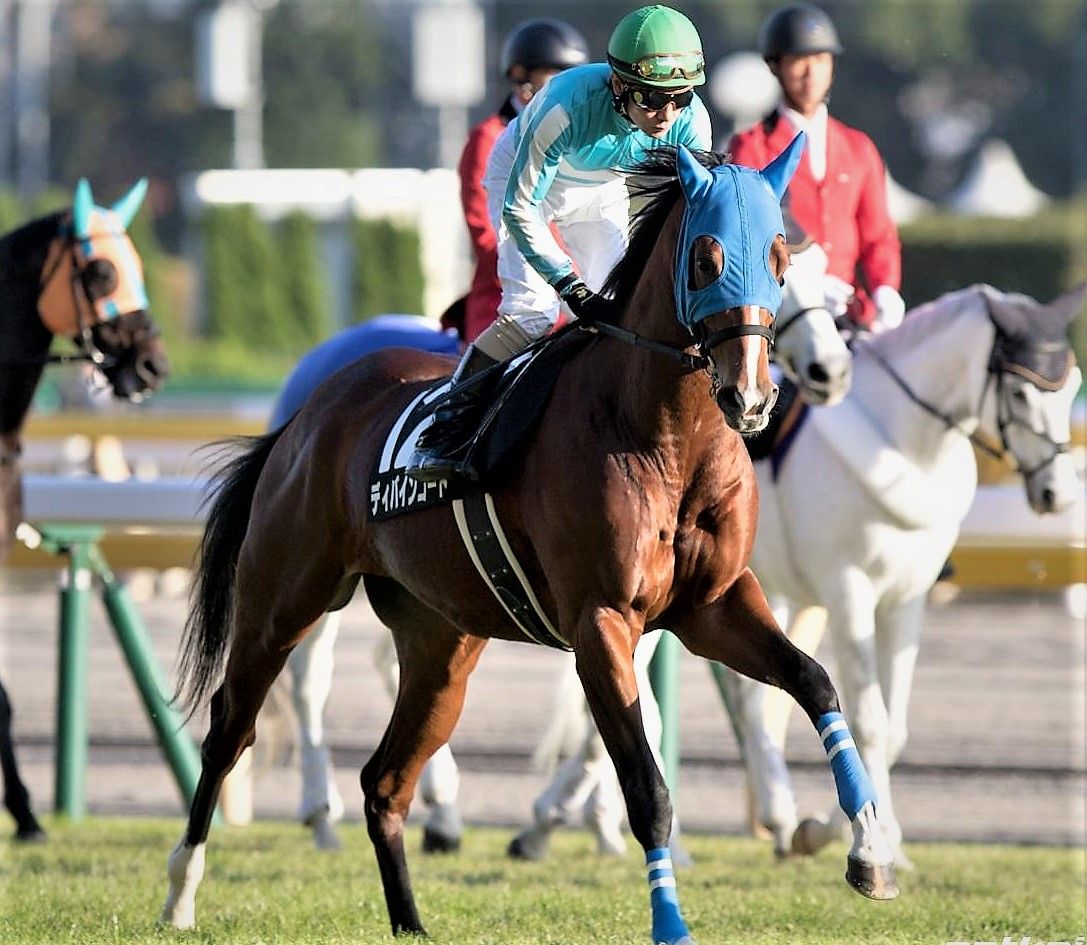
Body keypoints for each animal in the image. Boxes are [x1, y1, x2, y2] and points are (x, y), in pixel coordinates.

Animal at [160, 139, 902, 945]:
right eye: (706, 260)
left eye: (777, 256)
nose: (752, 395)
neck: (666, 438)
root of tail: (306, 412)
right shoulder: (601, 620)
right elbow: (647, 788)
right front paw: (670, 922)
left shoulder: (714, 605)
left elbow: (814, 681)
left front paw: (868, 850)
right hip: (281, 603)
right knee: (229, 731)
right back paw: (180, 894)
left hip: (441, 648)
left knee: (384, 780)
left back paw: (410, 924)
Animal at [721, 283, 1084, 865]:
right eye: (1021, 394)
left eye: (1069, 386)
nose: (1060, 494)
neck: (907, 445)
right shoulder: (849, 594)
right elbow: (868, 720)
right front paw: (862, 837)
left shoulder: (905, 601)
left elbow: (892, 730)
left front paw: (852, 831)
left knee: (752, 697)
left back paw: (779, 820)